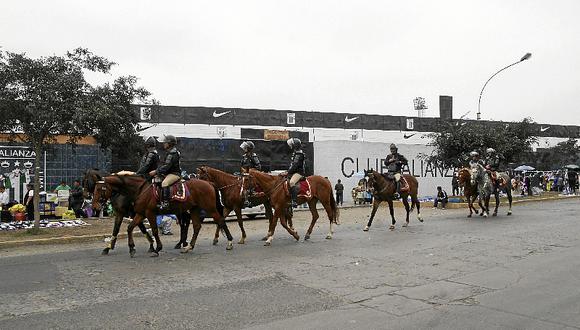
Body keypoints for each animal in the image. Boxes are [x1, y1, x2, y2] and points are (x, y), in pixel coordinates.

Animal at [93, 174, 233, 256]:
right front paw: (131, 248)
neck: (140, 190)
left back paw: (230, 243)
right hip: (194, 209)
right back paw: (188, 247)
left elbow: (154, 230)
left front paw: (157, 248)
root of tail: (209, 183)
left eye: (99, 189)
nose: (94, 207)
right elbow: (129, 227)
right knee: (197, 226)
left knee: (221, 221)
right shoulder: (140, 213)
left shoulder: (149, 213)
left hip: (210, 208)